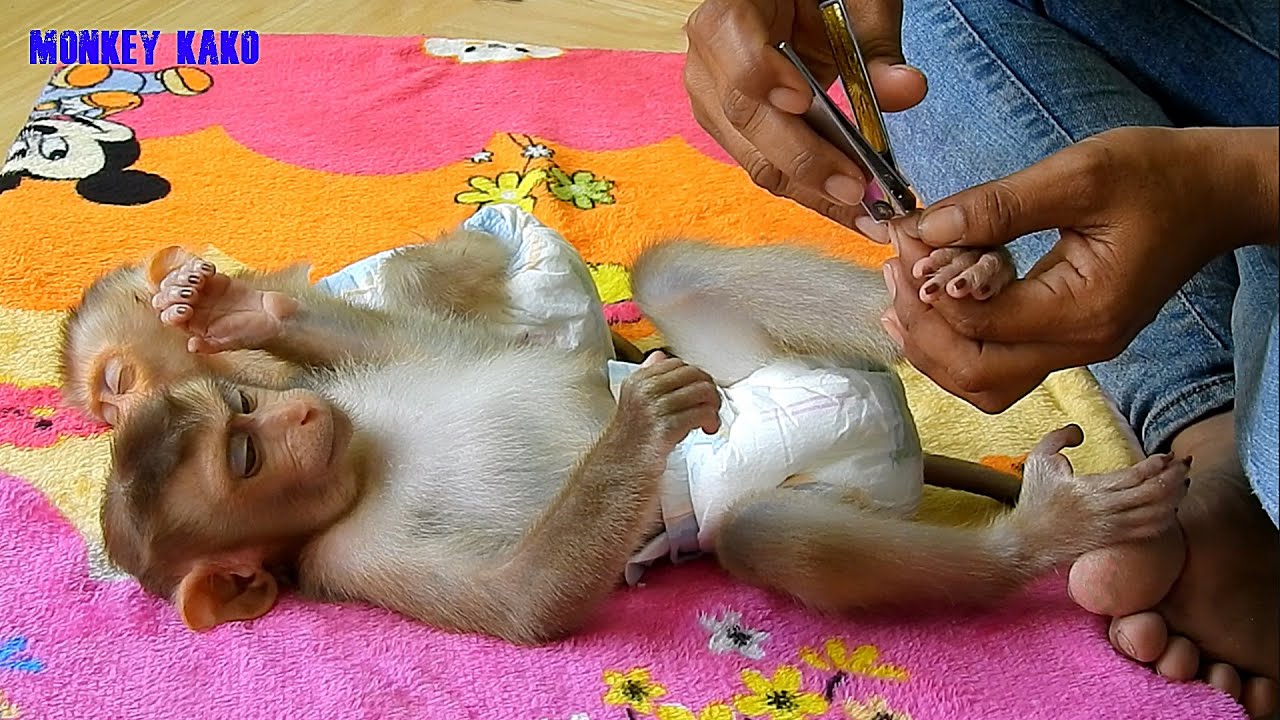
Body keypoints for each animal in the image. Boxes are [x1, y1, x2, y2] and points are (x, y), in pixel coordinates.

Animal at [98, 232, 1190, 644]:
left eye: (238, 416)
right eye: (245, 458)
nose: (296, 418)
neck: (361, 459)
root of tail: (899, 443)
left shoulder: (361, 391)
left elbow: (414, 344)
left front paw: (228, 312)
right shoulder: (346, 560)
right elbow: (522, 606)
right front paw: (635, 423)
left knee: (670, 274)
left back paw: (947, 298)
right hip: (819, 484)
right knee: (764, 533)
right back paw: (1040, 531)